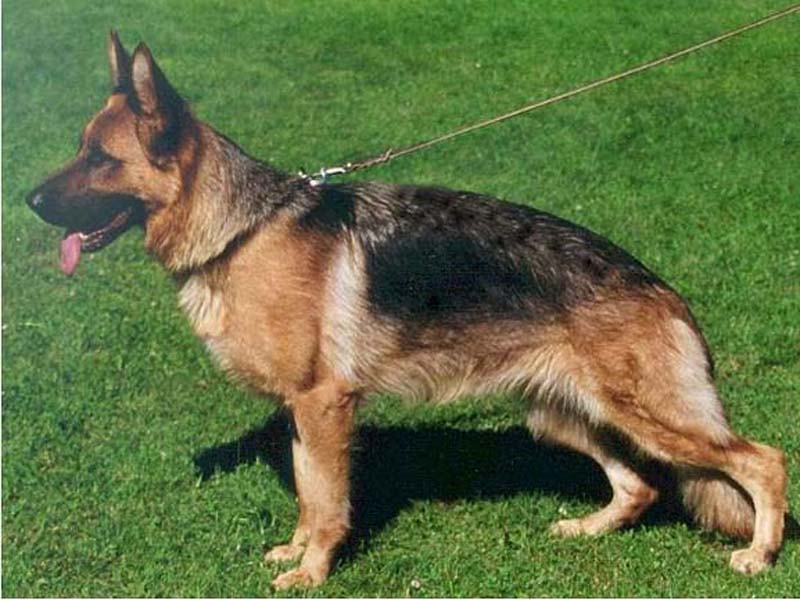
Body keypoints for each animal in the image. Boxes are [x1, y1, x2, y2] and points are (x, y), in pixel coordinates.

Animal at [27, 32, 788, 589]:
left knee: (764, 460)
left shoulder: (325, 406)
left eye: (100, 158)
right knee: (638, 487)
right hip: (563, 415)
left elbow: (328, 503)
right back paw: (587, 530)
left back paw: (760, 555)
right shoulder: (303, 415)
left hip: (647, 416)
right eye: (80, 149)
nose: (29, 202)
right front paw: (296, 553)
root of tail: (662, 289)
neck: (242, 229)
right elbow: (308, 493)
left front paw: (313, 572)